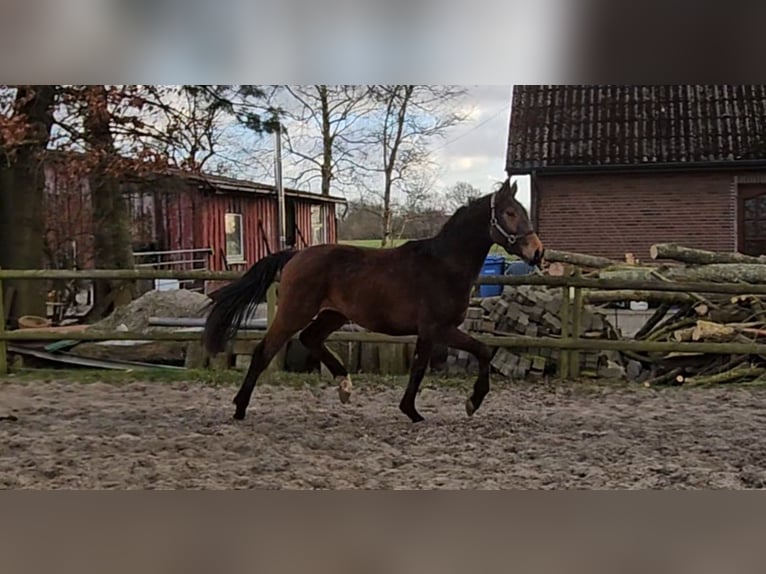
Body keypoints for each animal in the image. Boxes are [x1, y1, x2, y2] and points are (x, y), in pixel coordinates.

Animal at [201, 178, 544, 426]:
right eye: (510, 213)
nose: (537, 252)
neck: (443, 264)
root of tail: (297, 254)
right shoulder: (437, 328)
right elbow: (472, 353)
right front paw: (464, 403)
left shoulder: (431, 332)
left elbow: (428, 365)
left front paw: (418, 409)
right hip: (294, 312)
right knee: (264, 351)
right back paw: (240, 408)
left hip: (333, 315)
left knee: (310, 338)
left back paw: (344, 386)